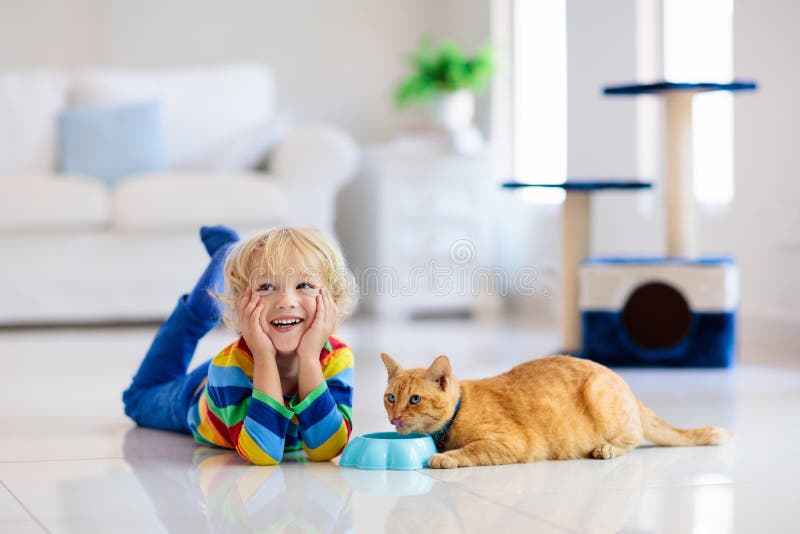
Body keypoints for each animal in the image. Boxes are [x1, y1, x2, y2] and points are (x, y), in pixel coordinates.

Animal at [382, 354, 732, 472]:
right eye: (390, 398)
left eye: (414, 399)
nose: (394, 417)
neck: (459, 408)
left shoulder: (511, 443)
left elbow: (472, 450)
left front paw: (446, 458)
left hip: (600, 394)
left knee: (631, 442)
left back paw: (605, 449)